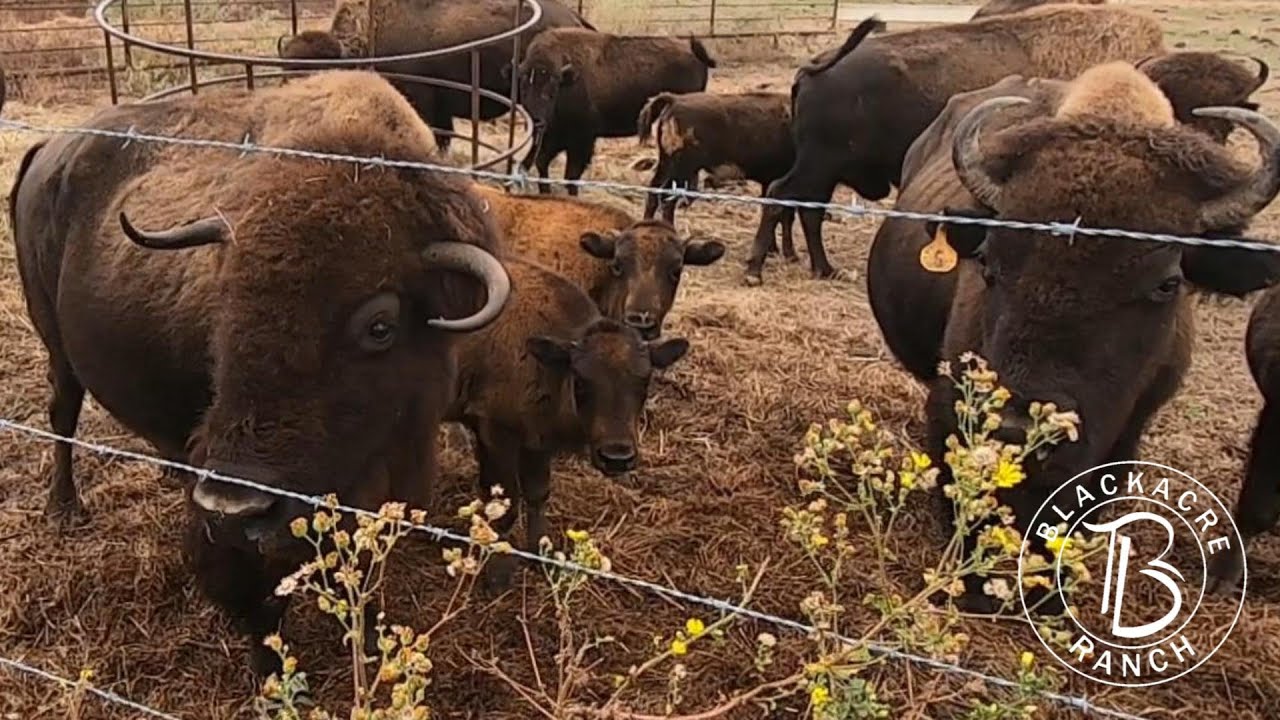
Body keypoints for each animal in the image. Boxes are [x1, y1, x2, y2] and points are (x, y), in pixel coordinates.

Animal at [8, 70, 510, 674]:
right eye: (224, 297)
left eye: (380, 326)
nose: (234, 505)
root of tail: (49, 150)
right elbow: (255, 585)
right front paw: (271, 668)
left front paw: (367, 642)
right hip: (53, 342)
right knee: (62, 413)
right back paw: (64, 509)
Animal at [445, 258, 689, 585]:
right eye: (582, 381)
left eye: (644, 381)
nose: (617, 457)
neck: (546, 362)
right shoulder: (496, 434)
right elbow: (505, 505)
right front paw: (497, 575)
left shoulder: (536, 442)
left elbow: (537, 494)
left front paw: (543, 556)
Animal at [511, 28, 717, 195]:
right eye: (523, 88)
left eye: (551, 91)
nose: (536, 121)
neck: (567, 79)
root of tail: (695, 54)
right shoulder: (555, 136)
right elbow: (542, 162)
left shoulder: (581, 139)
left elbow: (571, 174)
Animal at [635, 91, 798, 259]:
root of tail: (675, 100)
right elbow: (785, 216)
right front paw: (790, 253)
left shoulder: (769, 182)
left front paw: (774, 249)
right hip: (680, 171)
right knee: (667, 202)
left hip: (667, 166)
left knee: (654, 194)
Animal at [743, 4, 1165, 285]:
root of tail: (817, 65)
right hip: (819, 163)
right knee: (782, 195)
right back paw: (755, 271)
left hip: (826, 169)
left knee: (807, 209)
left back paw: (824, 269)